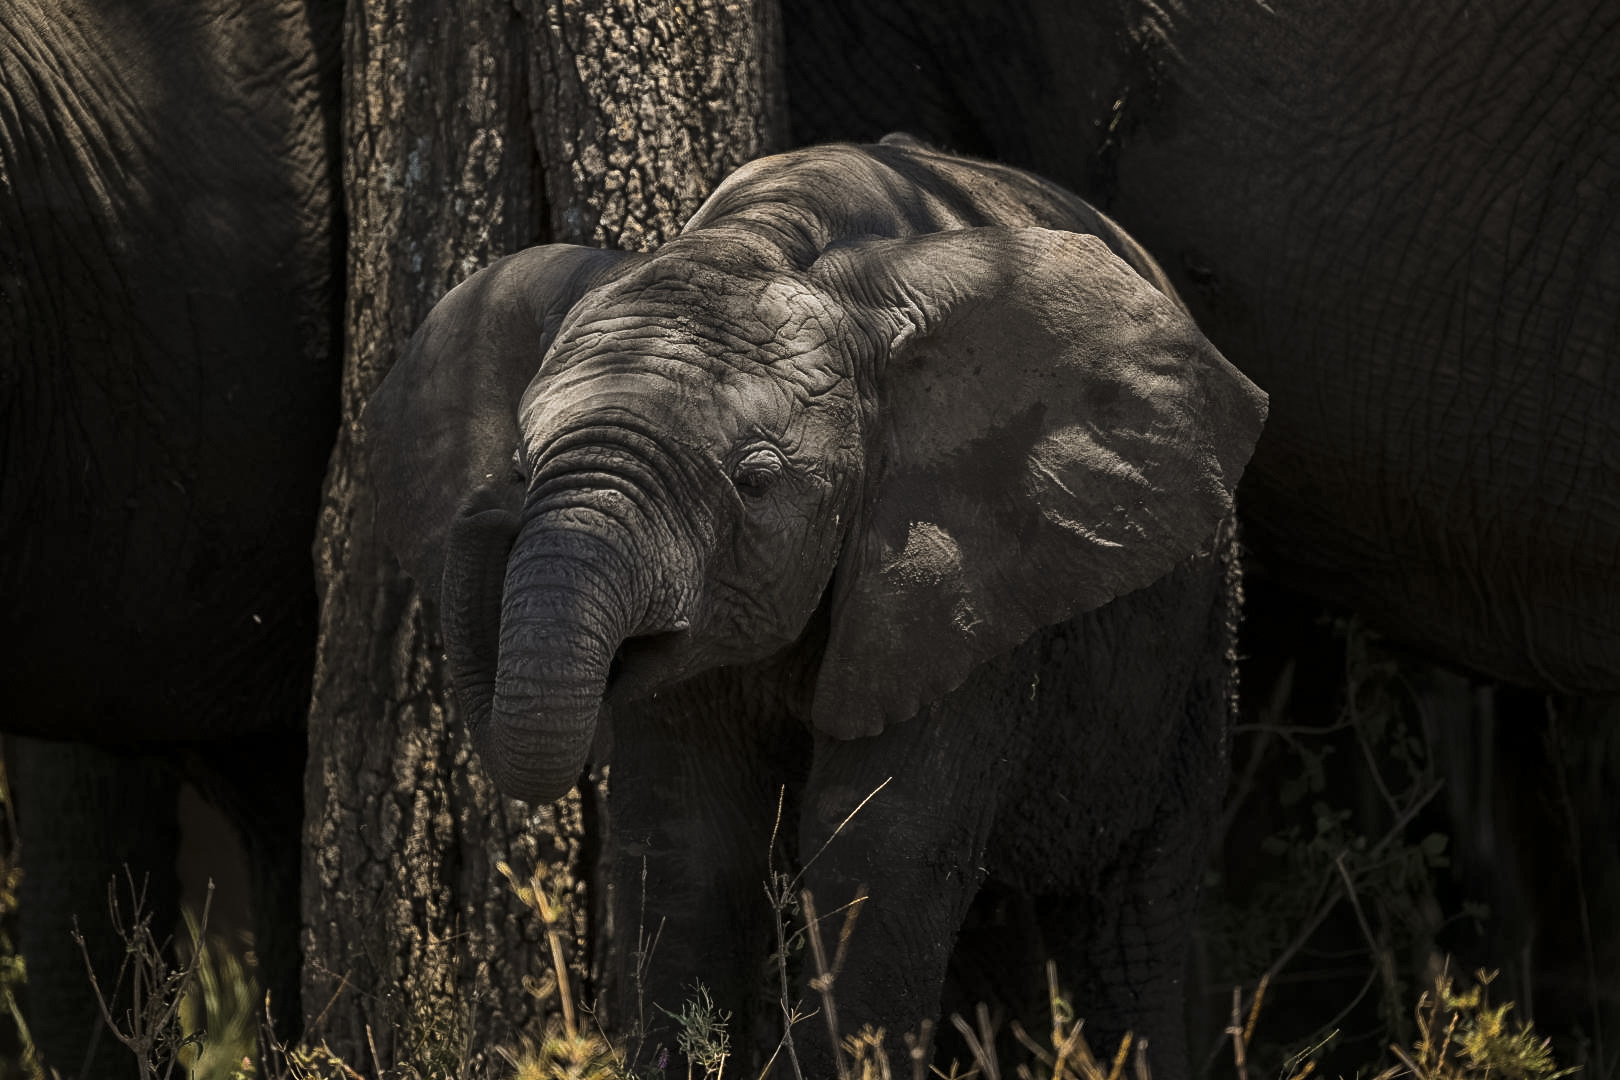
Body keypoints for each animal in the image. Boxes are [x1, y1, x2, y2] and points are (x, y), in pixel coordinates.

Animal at [365, 136, 1268, 1077]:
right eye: (521, 461)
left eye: (756, 481)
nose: (492, 507)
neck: (770, 236)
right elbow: (687, 846)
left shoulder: (964, 579)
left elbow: (879, 848)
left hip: (1201, 640)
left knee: (1129, 919)